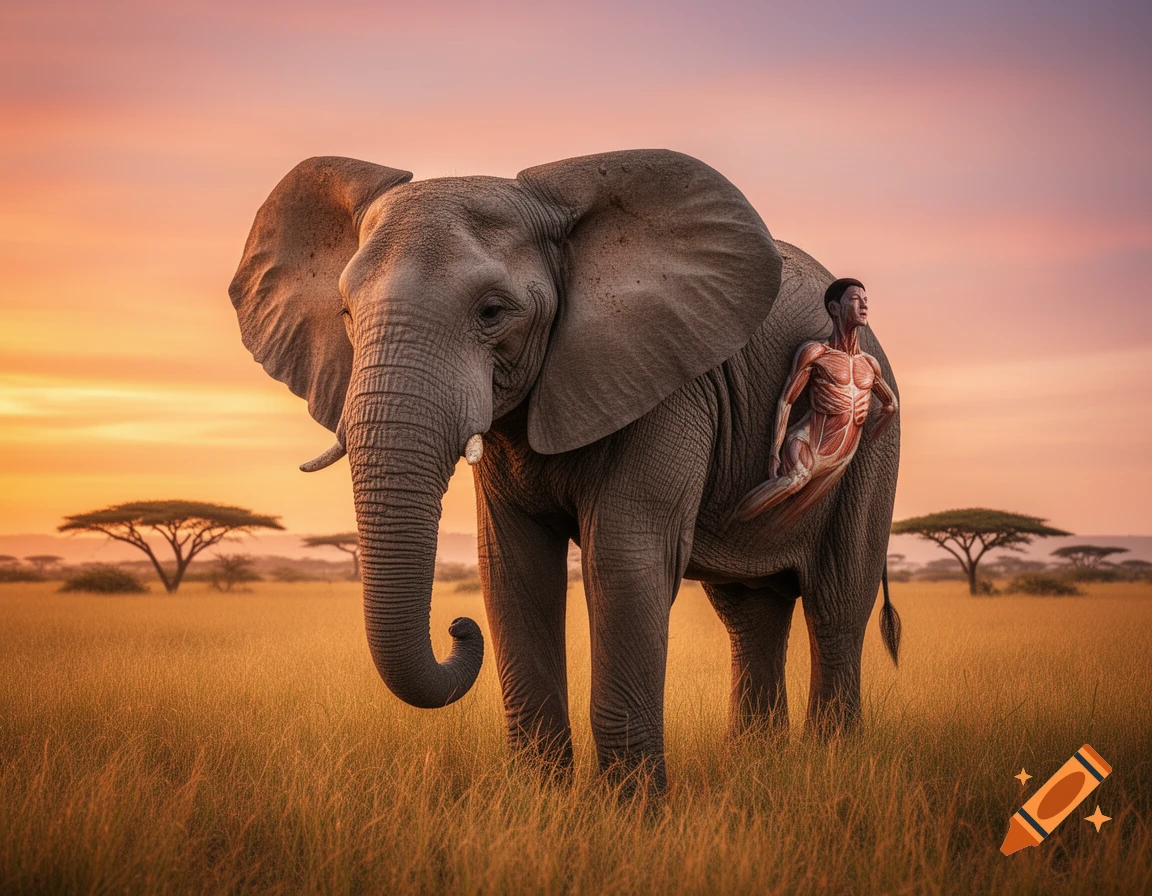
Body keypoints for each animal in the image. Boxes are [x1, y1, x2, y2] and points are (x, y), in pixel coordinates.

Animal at [229, 149, 900, 792]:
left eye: (493, 311)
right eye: (345, 313)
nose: (458, 627)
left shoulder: (667, 383)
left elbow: (624, 561)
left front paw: (633, 809)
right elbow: (512, 564)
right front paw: (539, 801)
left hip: (873, 450)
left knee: (836, 604)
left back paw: (831, 762)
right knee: (748, 612)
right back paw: (758, 762)